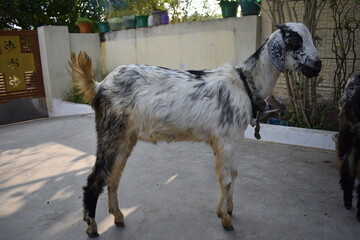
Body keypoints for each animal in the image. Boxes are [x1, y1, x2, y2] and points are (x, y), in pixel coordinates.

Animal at [70, 22, 320, 236]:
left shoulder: (231, 140)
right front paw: (225, 219)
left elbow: (234, 174)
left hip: (125, 137)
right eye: (294, 40)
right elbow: (225, 179)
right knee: (94, 180)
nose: (317, 65)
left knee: (113, 176)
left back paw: (118, 216)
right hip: (110, 132)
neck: (246, 84)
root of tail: (99, 85)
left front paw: (229, 210)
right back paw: (92, 228)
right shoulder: (224, 141)